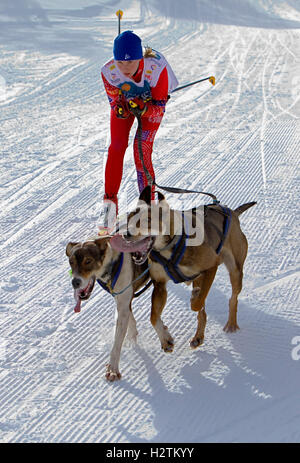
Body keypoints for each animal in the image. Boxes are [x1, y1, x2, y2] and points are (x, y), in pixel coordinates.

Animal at [110, 187, 255, 354]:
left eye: (147, 220)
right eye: (129, 219)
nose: (125, 234)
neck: (169, 245)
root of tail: (232, 212)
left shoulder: (211, 267)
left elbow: (197, 303)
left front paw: (194, 299)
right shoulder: (159, 285)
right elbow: (153, 317)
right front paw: (165, 339)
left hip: (235, 270)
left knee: (232, 298)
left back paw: (231, 323)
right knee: (203, 312)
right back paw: (198, 337)